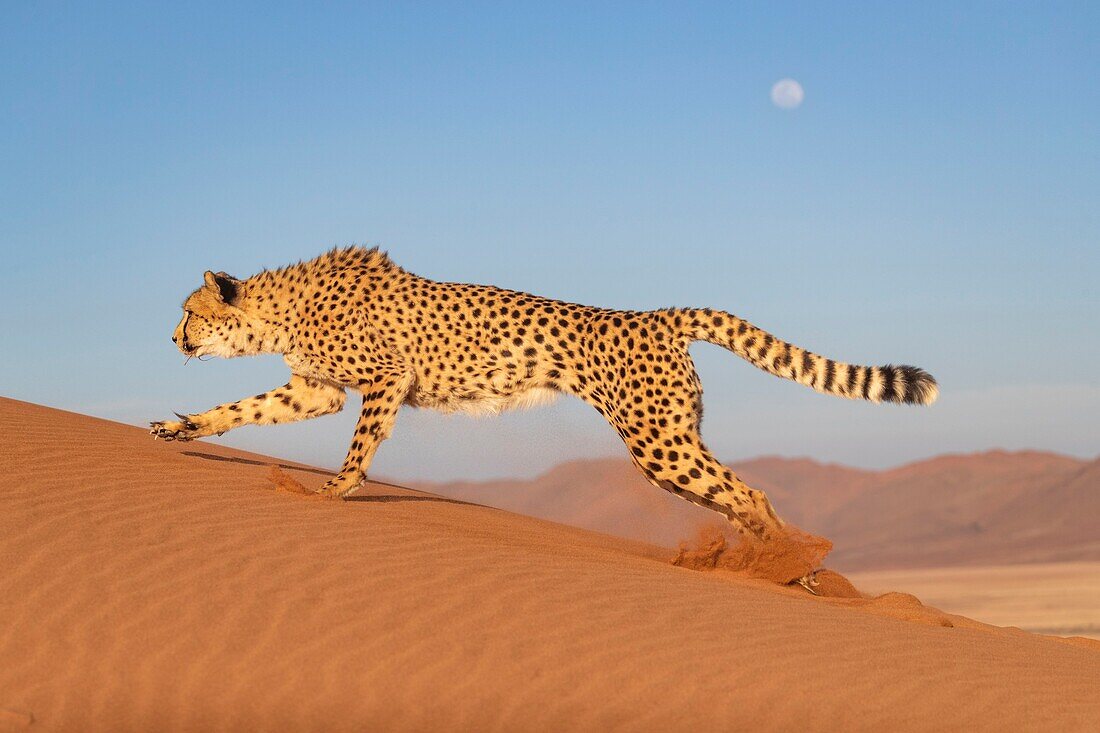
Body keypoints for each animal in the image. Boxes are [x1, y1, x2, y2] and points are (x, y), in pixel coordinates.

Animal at [152, 248, 937, 539]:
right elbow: (241, 411)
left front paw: (335, 490)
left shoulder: (384, 379)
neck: (279, 309)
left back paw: (779, 561)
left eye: (190, 310)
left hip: (658, 441)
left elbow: (360, 443)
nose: (174, 338)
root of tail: (654, 314)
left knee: (749, 492)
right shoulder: (313, 390)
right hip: (672, 441)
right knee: (736, 492)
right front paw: (179, 428)